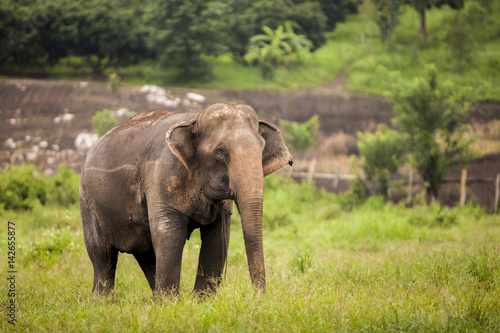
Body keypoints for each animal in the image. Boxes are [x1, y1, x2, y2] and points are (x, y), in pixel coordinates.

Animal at [79, 102, 292, 294]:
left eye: (262, 148)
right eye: (221, 151)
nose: (258, 296)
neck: (194, 119)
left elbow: (218, 238)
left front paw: (202, 302)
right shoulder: (161, 176)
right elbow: (169, 233)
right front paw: (171, 306)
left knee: (146, 255)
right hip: (88, 200)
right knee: (102, 255)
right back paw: (103, 302)